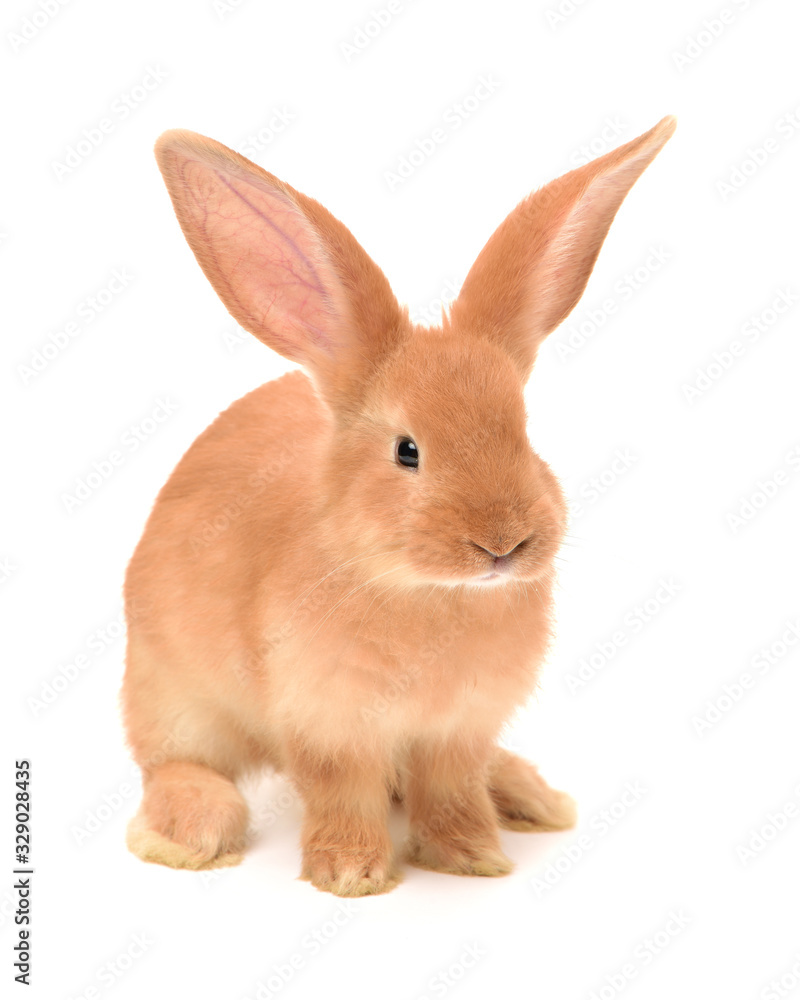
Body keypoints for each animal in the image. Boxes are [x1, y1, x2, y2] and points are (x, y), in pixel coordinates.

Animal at [121, 115, 676, 896]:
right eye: (407, 451)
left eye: (524, 431)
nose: (504, 543)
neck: (428, 592)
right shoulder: (329, 725)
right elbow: (344, 792)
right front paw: (351, 873)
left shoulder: (459, 731)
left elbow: (451, 790)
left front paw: (471, 856)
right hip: (172, 690)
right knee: (173, 762)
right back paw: (191, 833)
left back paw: (531, 796)